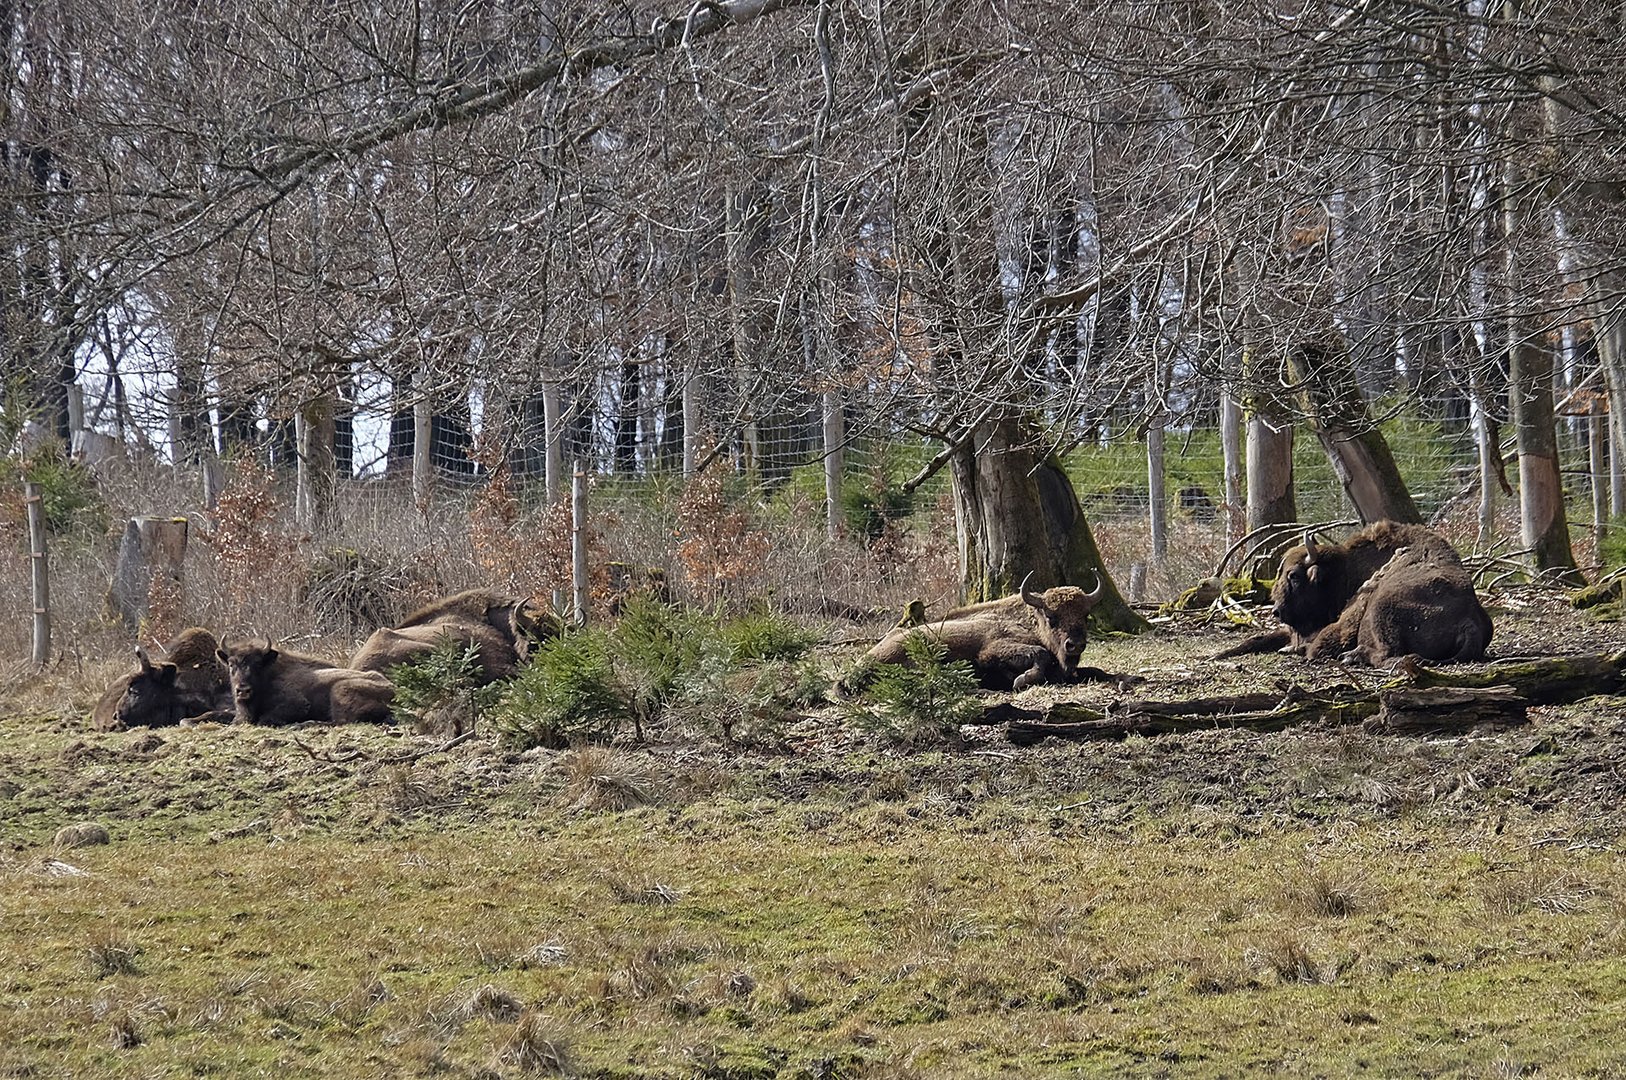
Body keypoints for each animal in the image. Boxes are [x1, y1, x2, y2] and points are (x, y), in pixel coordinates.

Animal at [217, 637, 395, 728]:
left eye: (258, 664)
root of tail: (392, 688)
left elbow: (265, 719)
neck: (269, 677)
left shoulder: (298, 704)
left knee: (340, 721)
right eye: (231, 664)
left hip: (339, 689)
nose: (243, 690)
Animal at [858, 572, 1112, 692]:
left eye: (1085, 615)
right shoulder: (992, 649)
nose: (1075, 644)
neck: (1029, 619)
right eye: (1052, 618)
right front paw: (1020, 680)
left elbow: (1094, 670)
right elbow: (1040, 654)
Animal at [1261, 520, 1489, 663]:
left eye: (1293, 575)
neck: (1346, 569)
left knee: (1387, 653)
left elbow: (1321, 642)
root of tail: (1469, 620)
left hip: (1382, 607)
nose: (1276, 611)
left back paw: (1351, 656)